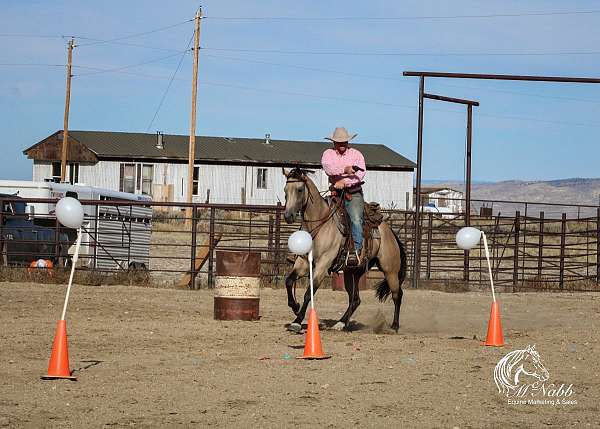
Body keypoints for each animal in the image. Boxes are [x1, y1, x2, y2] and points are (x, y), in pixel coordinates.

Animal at [282, 166, 408, 332]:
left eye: (300, 189)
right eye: (285, 190)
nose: (288, 216)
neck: (320, 224)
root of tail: (390, 232)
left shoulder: (323, 265)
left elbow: (309, 293)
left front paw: (297, 320)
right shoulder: (302, 263)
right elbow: (289, 281)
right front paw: (295, 308)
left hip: (390, 270)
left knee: (397, 294)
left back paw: (394, 326)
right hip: (352, 272)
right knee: (355, 299)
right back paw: (341, 323)